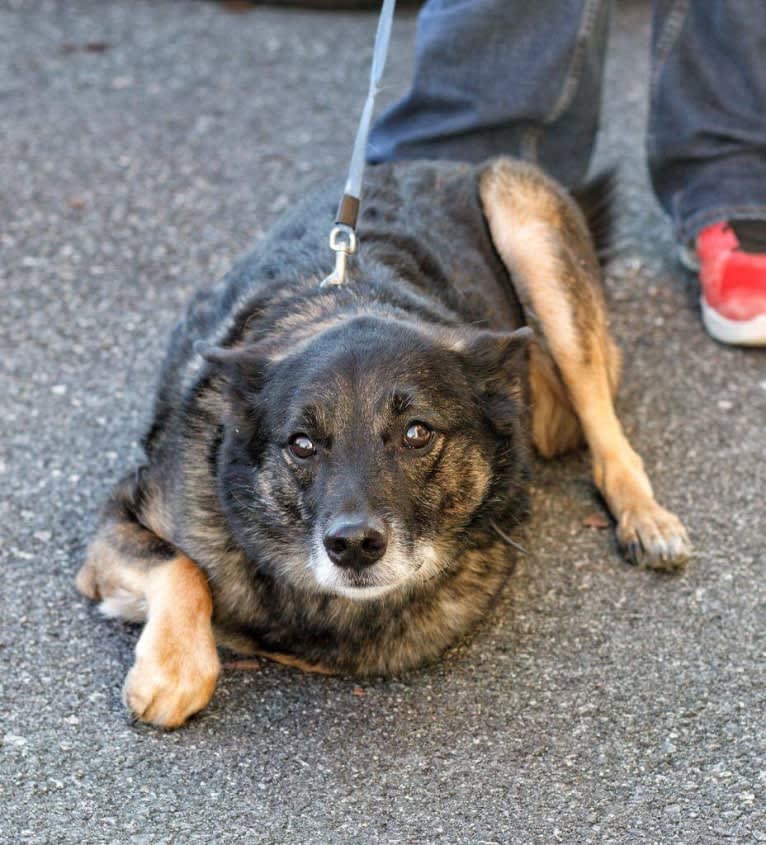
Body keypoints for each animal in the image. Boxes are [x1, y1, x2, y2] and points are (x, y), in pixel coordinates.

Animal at [75, 158, 692, 724]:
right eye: (301, 444)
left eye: (417, 434)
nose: (352, 547)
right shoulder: (119, 521)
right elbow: (184, 568)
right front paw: (174, 668)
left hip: (523, 211)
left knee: (605, 425)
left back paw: (646, 517)